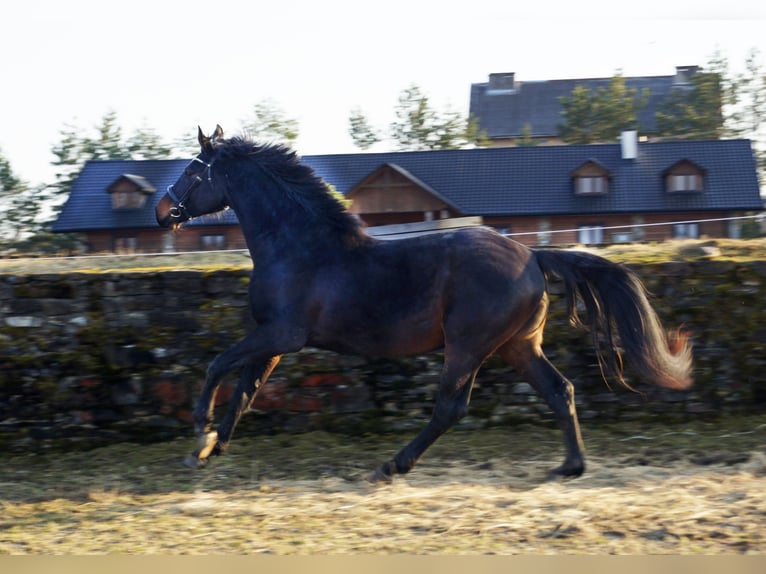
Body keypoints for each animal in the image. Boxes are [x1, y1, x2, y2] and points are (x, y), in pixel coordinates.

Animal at [156, 126, 693, 482]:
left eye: (191, 171)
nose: (162, 212)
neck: (298, 247)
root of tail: (533, 255)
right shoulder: (274, 341)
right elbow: (245, 391)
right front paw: (210, 448)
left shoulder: (280, 335)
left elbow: (217, 366)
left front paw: (199, 432)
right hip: (518, 345)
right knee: (560, 390)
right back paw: (570, 466)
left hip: (468, 345)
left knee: (451, 407)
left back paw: (394, 464)